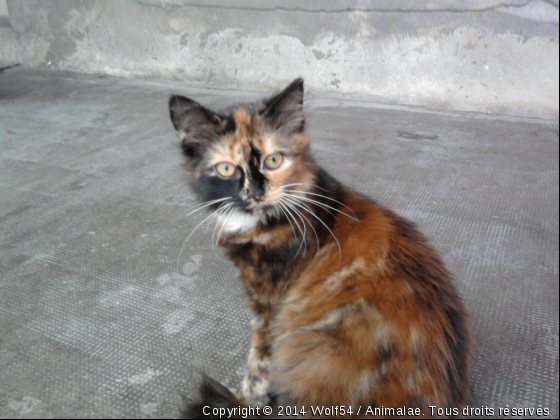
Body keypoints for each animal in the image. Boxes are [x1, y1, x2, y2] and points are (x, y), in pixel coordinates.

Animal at [168, 78, 470, 416]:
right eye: (226, 169)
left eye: (274, 160)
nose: (256, 192)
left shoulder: (269, 307)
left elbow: (257, 366)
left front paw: (244, 400)